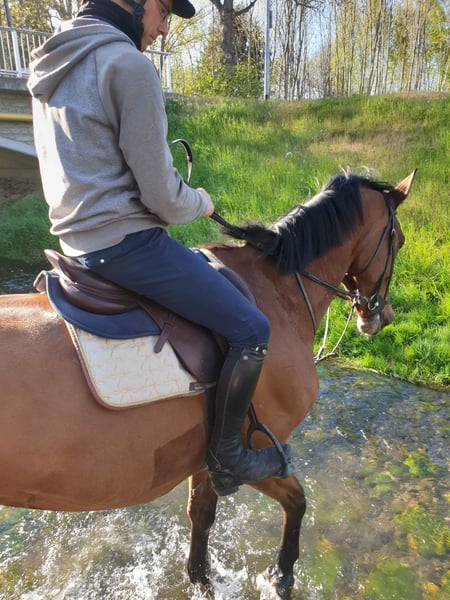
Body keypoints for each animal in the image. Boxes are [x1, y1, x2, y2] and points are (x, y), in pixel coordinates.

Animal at [0, 170, 415, 597]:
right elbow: (297, 502)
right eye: (398, 240)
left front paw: (202, 580)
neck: (277, 292)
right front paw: (281, 575)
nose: (381, 316)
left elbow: (201, 516)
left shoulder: (205, 460)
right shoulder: (258, 451)